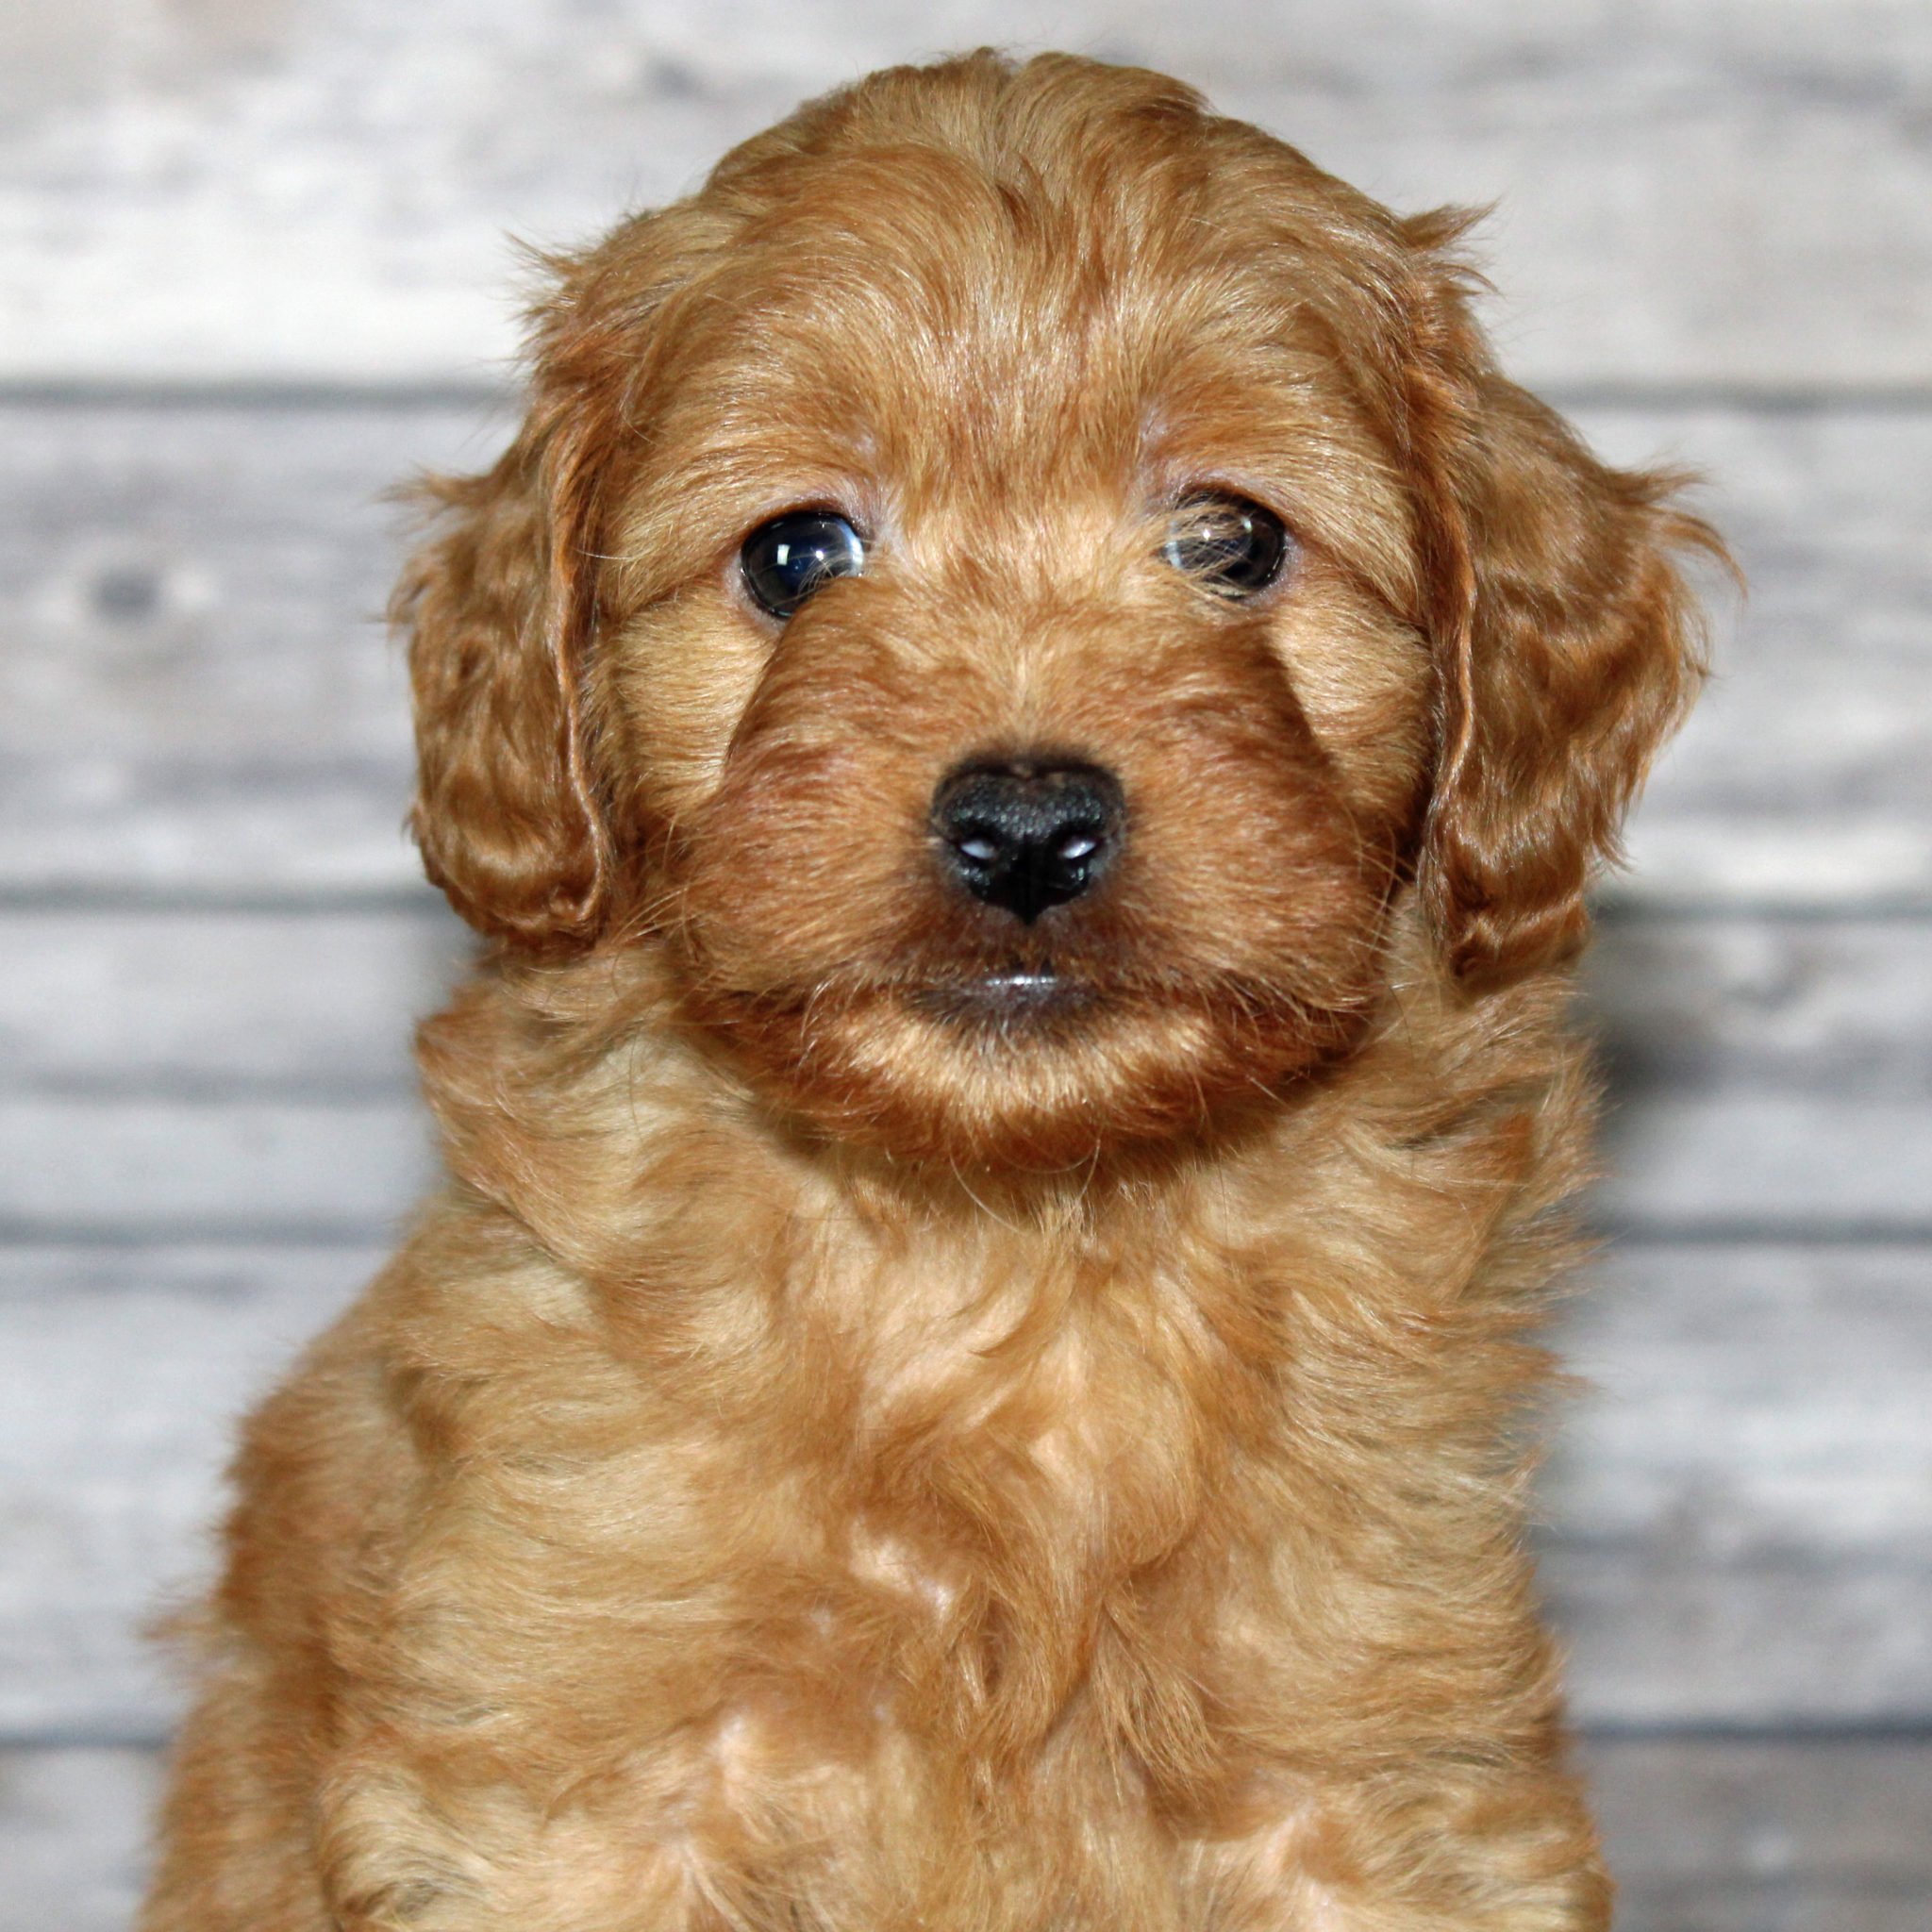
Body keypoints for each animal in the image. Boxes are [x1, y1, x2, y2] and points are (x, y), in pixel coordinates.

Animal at [140, 48, 1723, 1932]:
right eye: (795, 556)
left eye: (1233, 542)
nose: (1026, 825)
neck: (1014, 1248)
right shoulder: (572, 1777)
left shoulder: (1376, 1775)